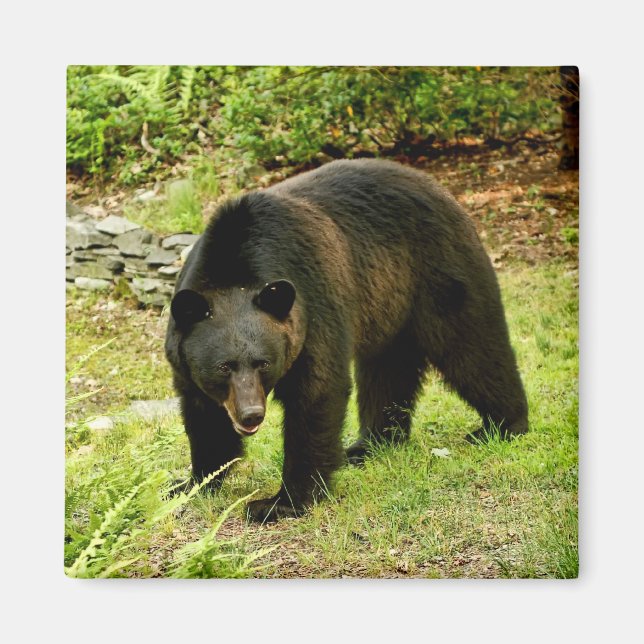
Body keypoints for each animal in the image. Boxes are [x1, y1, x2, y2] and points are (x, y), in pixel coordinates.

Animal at [165, 159, 528, 523]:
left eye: (263, 362)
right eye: (224, 367)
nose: (251, 414)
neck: (236, 266)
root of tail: (439, 187)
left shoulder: (313, 304)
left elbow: (316, 392)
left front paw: (280, 502)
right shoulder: (187, 356)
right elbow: (204, 416)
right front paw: (188, 484)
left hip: (438, 272)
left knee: (471, 346)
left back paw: (503, 425)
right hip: (388, 306)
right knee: (387, 371)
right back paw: (370, 444)